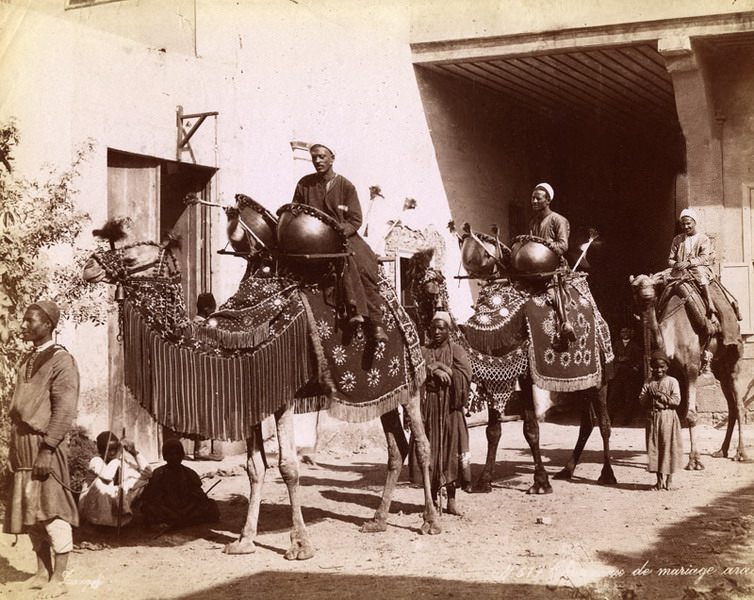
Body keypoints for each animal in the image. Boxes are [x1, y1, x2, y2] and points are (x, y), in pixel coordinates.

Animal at [81, 221, 440, 564]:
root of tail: (400, 310)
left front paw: (300, 545)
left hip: (411, 385)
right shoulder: (251, 396)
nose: (89, 266)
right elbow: (255, 468)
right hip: (384, 392)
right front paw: (244, 541)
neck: (228, 342)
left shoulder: (281, 397)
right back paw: (377, 520)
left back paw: (430, 521)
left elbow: (289, 467)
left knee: (422, 444)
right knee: (396, 446)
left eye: (131, 257)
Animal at [402, 246, 612, 494]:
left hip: (600, 374)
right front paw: (484, 481)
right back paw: (566, 470)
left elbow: (531, 429)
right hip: (579, 381)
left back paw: (607, 474)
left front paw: (540, 482)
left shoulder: (526, 375)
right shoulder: (494, 382)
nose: (425, 300)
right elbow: (493, 431)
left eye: (430, 280)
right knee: (587, 421)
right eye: (415, 277)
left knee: (604, 423)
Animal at [628, 274, 748, 468]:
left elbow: (690, 415)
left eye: (652, 286)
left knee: (739, 405)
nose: (646, 295)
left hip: (734, 359)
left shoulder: (691, 368)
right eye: (636, 287)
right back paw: (721, 450)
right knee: (730, 404)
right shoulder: (672, 372)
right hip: (719, 369)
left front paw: (694, 461)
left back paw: (741, 453)